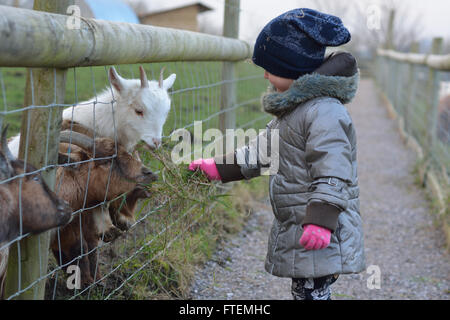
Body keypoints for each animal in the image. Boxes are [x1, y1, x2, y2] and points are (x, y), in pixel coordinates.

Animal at [49, 131, 156, 286]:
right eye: (106, 161)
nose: (150, 174)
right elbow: (80, 249)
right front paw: (87, 284)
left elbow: (86, 248)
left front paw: (95, 283)